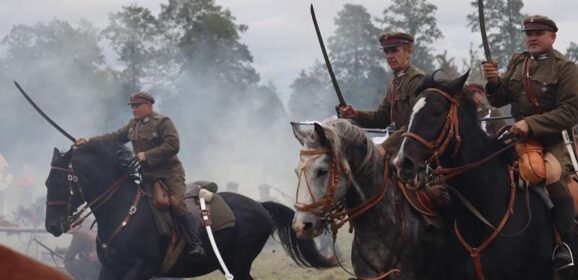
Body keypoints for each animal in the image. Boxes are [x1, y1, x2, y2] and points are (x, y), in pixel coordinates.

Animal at [45, 140, 336, 280]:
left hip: (239, 264)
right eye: (47, 182)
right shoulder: (110, 270)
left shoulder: (142, 269)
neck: (124, 213)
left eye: (59, 183)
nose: (52, 226)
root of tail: (259, 206)